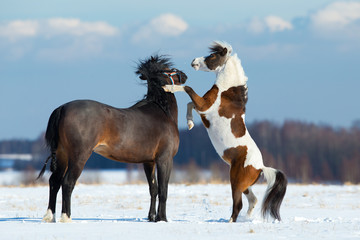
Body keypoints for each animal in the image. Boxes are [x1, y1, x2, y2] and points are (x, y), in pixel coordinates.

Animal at [37, 54, 187, 223]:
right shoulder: (164, 160)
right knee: (67, 182)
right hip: (79, 156)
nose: (184, 75)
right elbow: (163, 190)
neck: (162, 112)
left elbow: (153, 189)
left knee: (54, 182)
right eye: (169, 69)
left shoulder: (149, 162)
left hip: (62, 155)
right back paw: (66, 217)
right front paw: (162, 219)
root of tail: (62, 108)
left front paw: (151, 217)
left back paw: (50, 216)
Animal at [165, 40, 288, 221]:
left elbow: (188, 89)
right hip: (244, 185)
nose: (193, 61)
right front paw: (190, 124)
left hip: (235, 182)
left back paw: (231, 221)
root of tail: (261, 167)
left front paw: (168, 87)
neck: (226, 91)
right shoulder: (201, 107)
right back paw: (247, 218)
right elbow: (189, 103)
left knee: (239, 204)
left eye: (212, 56)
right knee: (253, 200)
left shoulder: (204, 105)